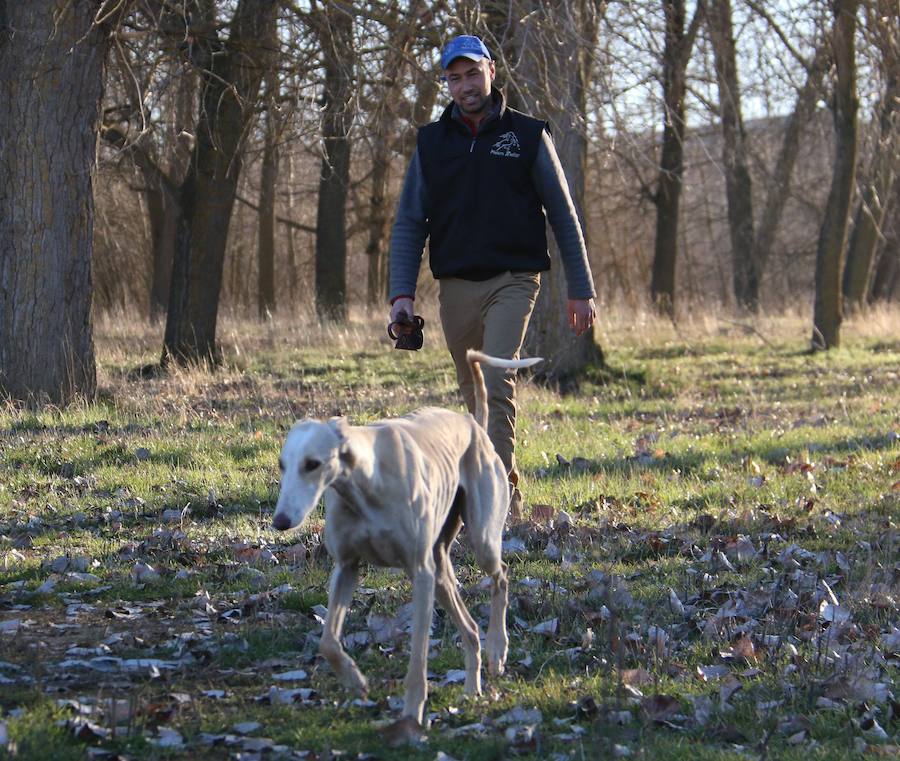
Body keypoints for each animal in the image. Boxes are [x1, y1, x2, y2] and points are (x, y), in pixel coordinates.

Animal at [270, 348, 536, 720]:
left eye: (313, 464)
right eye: (283, 465)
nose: (281, 521)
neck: (366, 480)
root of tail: (473, 424)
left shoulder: (420, 573)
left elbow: (418, 658)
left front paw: (412, 714)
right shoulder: (347, 567)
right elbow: (328, 642)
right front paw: (355, 681)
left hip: (479, 540)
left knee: (501, 576)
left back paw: (498, 649)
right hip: (441, 569)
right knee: (470, 629)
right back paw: (472, 688)